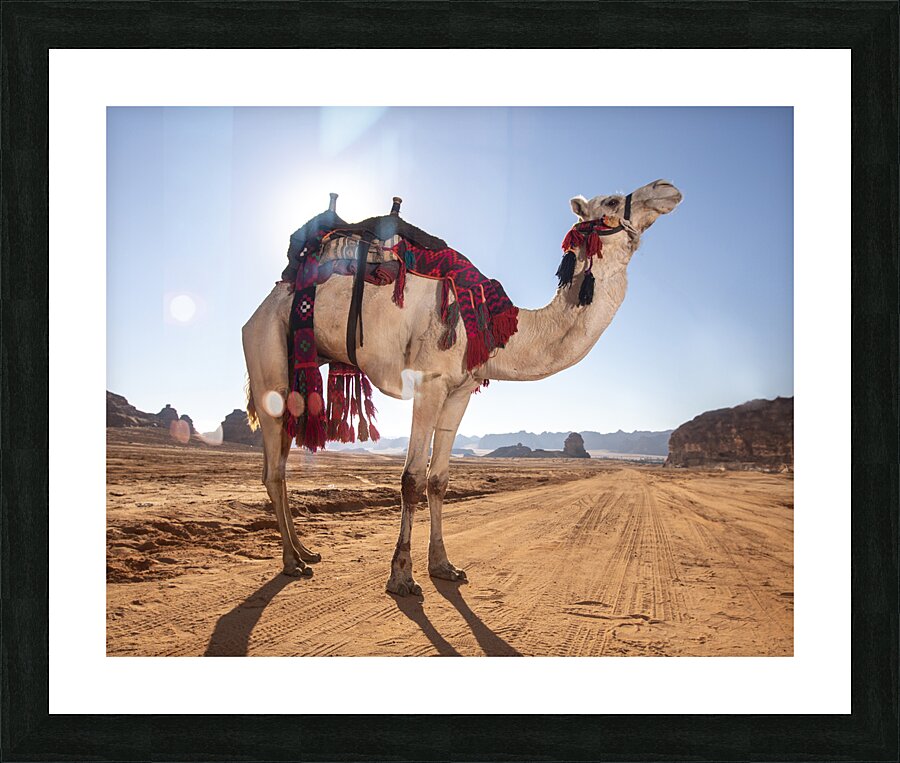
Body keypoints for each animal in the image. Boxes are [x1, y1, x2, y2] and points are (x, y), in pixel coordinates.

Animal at [242, 179, 682, 595]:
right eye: (610, 201)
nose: (667, 189)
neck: (499, 327)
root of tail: (262, 307)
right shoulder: (429, 382)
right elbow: (412, 478)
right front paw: (401, 576)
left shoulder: (460, 390)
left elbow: (439, 479)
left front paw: (443, 565)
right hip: (268, 356)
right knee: (273, 471)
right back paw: (292, 561)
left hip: (298, 375)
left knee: (278, 465)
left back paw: (305, 551)